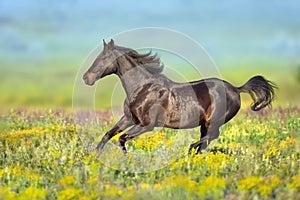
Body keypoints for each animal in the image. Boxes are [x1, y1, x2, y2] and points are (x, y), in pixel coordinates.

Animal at [82, 39, 276, 155]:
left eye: (104, 58)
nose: (86, 78)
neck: (142, 87)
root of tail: (235, 89)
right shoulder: (129, 118)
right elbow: (108, 134)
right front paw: (94, 155)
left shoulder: (147, 125)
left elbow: (121, 138)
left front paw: (125, 155)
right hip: (204, 123)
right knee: (207, 140)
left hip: (213, 121)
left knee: (212, 136)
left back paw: (190, 149)